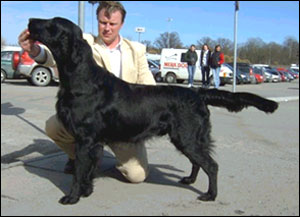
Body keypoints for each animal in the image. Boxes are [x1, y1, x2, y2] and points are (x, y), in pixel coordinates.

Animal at [27, 17, 278, 205]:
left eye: (51, 24)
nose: (29, 20)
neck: (82, 79)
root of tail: (197, 92)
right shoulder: (94, 142)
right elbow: (88, 171)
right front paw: (87, 191)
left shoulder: (85, 138)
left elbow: (80, 172)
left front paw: (72, 197)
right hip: (190, 138)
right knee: (199, 162)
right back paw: (189, 180)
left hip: (186, 137)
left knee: (212, 165)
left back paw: (210, 195)